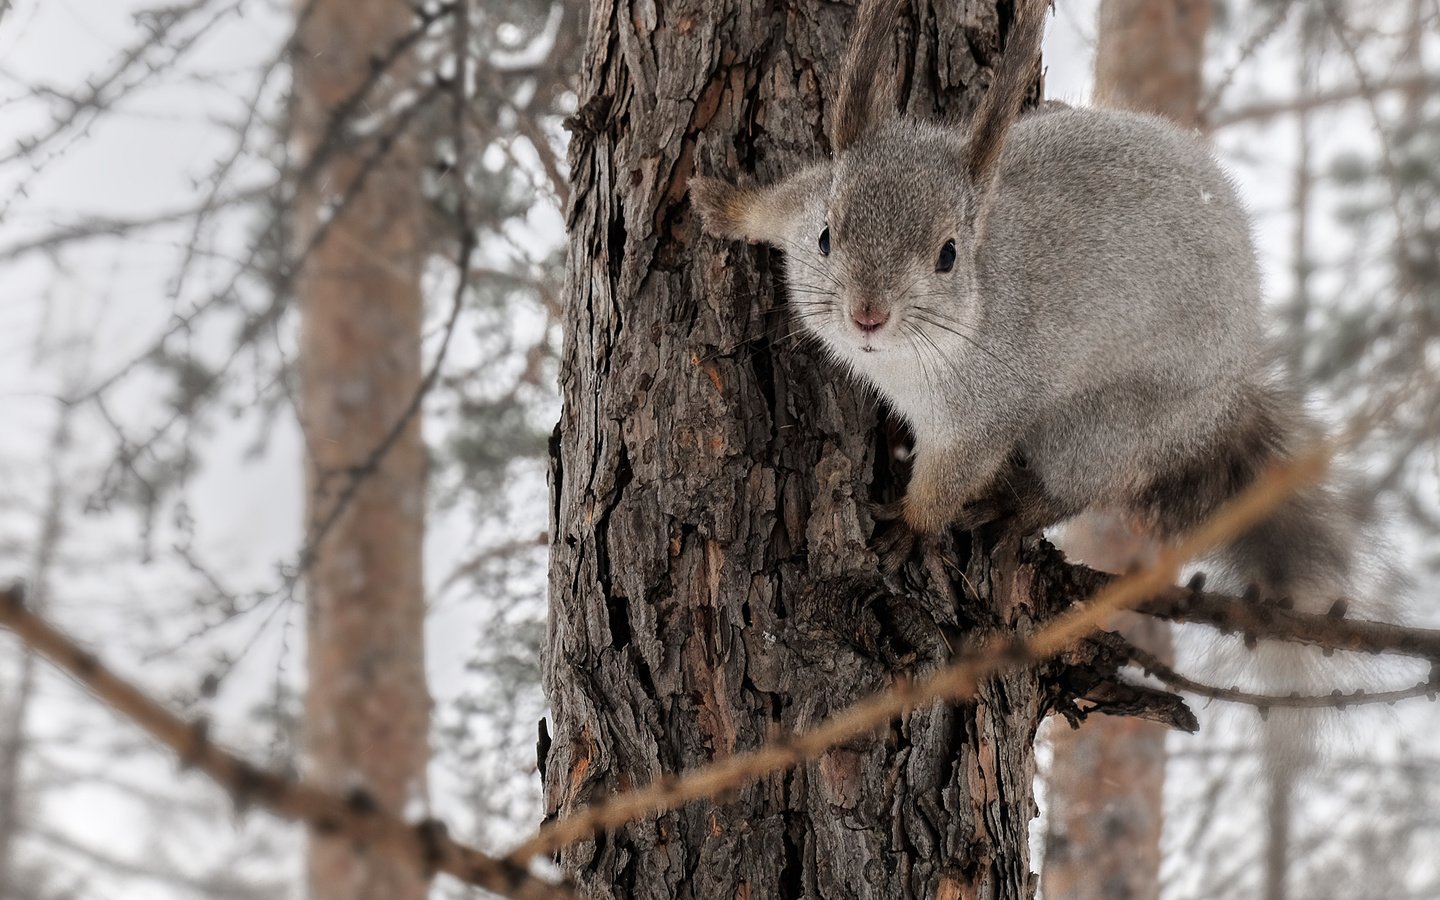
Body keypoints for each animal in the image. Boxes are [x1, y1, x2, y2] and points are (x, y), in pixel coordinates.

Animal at [688, 0, 1370, 653]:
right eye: (827, 236)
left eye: (948, 254)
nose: (867, 314)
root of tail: (1225, 402)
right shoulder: (803, 204)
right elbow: (775, 206)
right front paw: (721, 203)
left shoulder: (984, 410)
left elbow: (951, 478)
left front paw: (912, 526)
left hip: (1100, 429)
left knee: (1075, 486)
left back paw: (1011, 507)